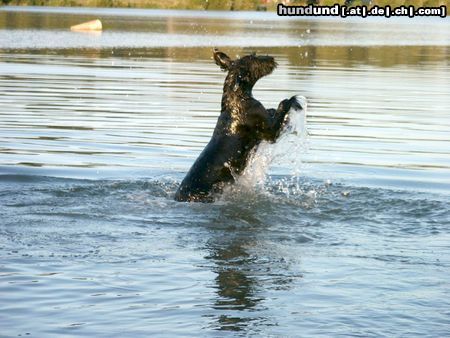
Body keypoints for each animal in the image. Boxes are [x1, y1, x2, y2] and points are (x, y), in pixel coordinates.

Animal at [174, 48, 300, 202]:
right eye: (254, 57)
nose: (271, 58)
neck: (238, 97)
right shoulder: (270, 132)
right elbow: (282, 107)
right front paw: (291, 100)